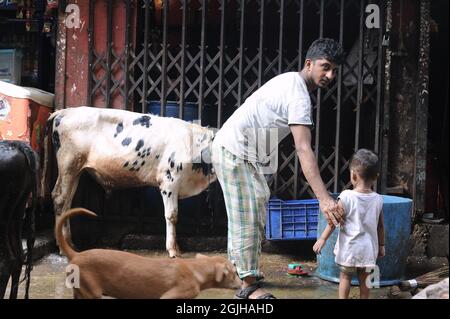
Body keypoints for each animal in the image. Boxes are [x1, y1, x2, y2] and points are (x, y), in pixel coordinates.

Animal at [56, 209, 243, 298]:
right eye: (234, 273)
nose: (242, 284)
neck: (195, 269)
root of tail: (76, 254)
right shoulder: (170, 296)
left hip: (80, 290)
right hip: (92, 292)